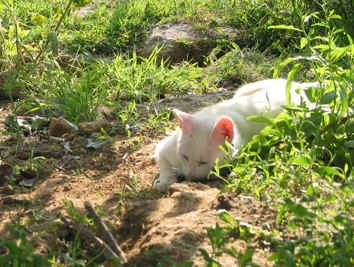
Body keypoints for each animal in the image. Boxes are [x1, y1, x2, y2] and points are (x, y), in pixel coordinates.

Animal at [152, 78, 318, 193]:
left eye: (203, 162)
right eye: (184, 156)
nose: (189, 176)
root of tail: (301, 86)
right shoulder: (167, 146)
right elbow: (162, 159)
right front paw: (165, 180)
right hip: (244, 89)